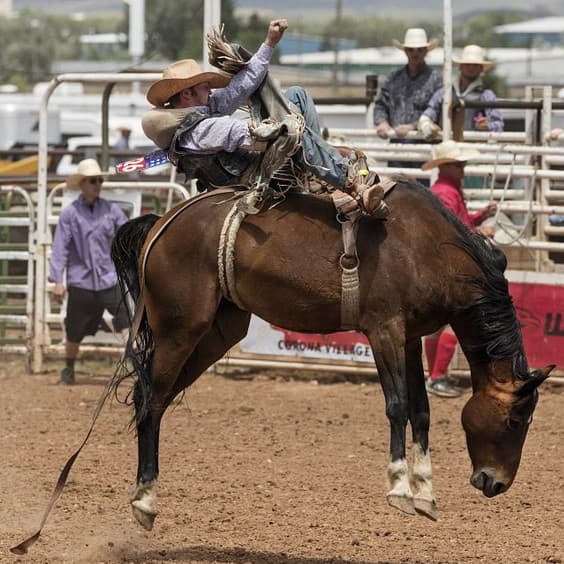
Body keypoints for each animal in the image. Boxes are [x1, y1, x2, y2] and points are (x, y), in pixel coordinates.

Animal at [110, 178, 552, 532]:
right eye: (516, 420)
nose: (496, 483)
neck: (427, 248)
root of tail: (165, 222)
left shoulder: (410, 338)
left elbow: (421, 410)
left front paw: (425, 493)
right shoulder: (384, 330)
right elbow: (397, 405)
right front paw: (399, 489)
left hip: (217, 331)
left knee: (155, 398)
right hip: (181, 329)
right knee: (150, 399)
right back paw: (144, 499)